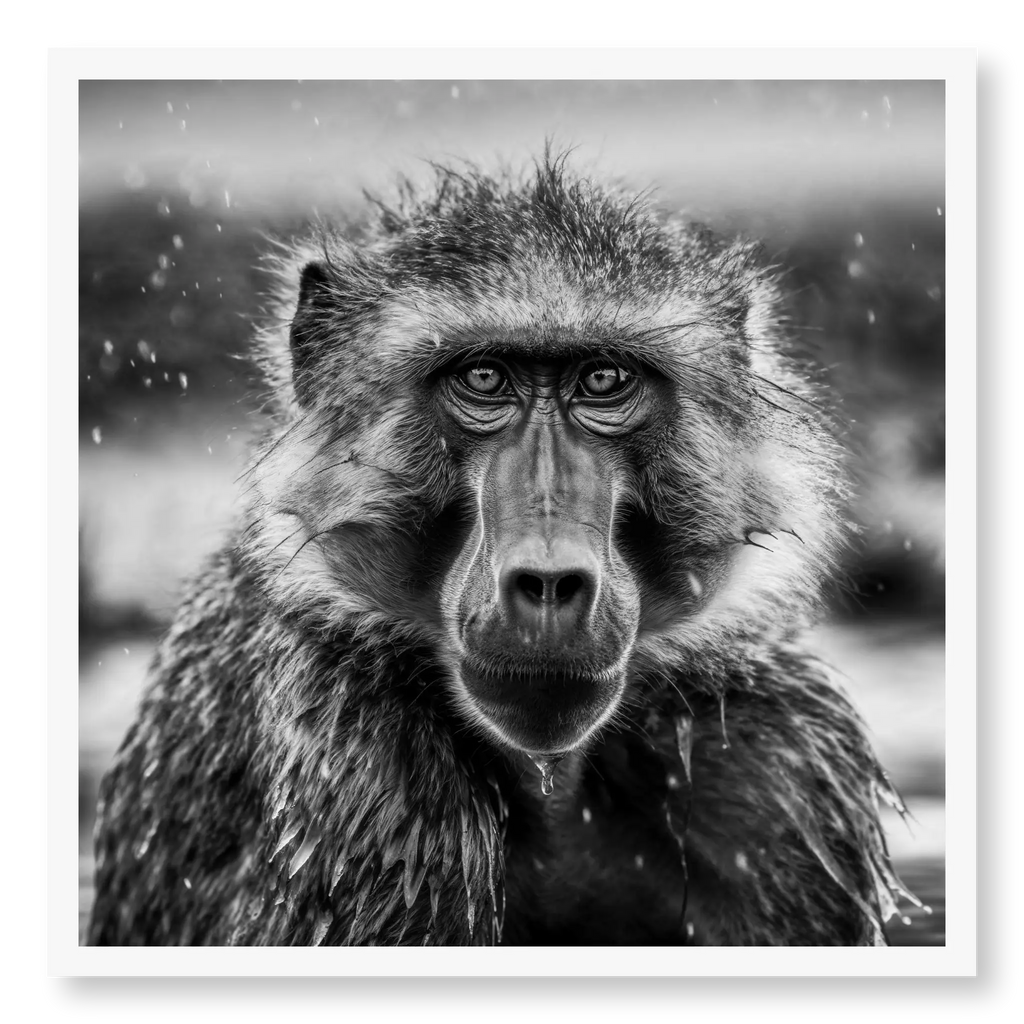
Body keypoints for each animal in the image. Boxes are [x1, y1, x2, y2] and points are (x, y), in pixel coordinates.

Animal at [88, 153, 921, 946]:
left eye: (603, 380)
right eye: (484, 379)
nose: (549, 580)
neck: (555, 783)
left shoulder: (778, 771)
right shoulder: (363, 769)